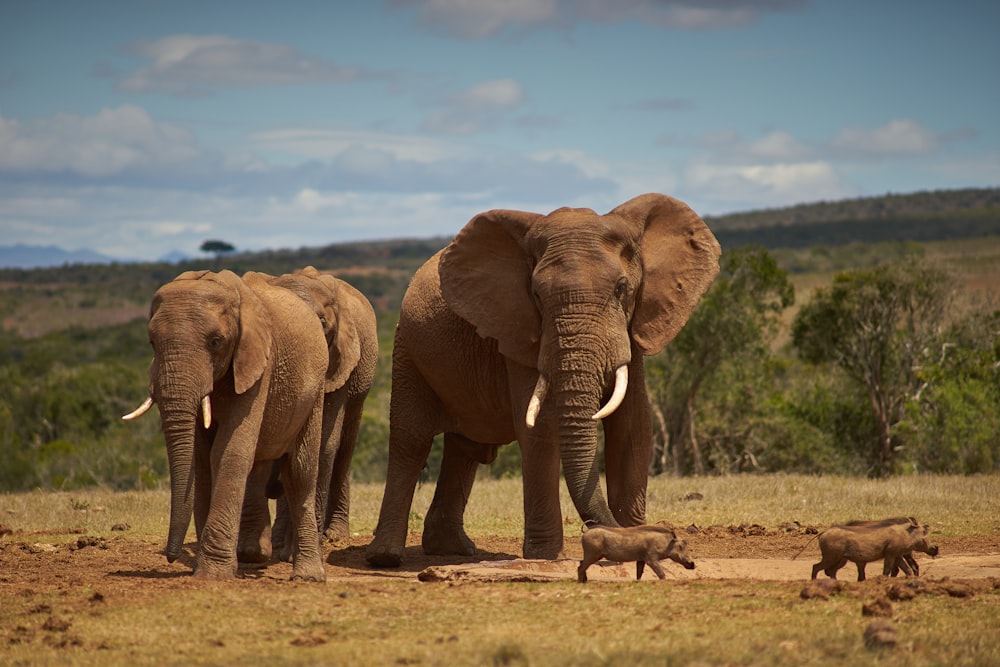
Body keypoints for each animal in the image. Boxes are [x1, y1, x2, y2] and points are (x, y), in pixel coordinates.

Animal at [123, 268, 328, 580]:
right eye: (152, 344)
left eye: (216, 342)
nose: (171, 557)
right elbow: (201, 460)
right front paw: (211, 567)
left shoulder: (259, 365)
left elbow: (227, 451)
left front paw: (212, 574)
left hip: (316, 389)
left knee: (300, 473)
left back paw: (307, 576)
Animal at [236, 266, 376, 564]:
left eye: (322, 322)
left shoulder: (339, 362)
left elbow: (324, 441)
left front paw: (299, 551)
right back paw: (279, 540)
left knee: (345, 446)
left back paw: (333, 535)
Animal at [366, 194, 720, 568]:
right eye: (536, 294)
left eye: (622, 289)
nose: (597, 531)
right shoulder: (519, 330)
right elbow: (542, 428)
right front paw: (548, 556)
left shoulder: (633, 328)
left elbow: (632, 425)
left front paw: (635, 539)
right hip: (406, 349)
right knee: (411, 441)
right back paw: (385, 558)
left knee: (466, 447)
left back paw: (453, 549)